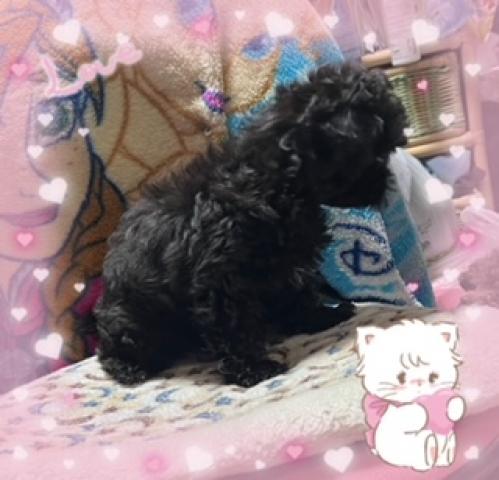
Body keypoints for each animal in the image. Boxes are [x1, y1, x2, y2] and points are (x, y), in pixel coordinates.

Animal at [94, 63, 408, 387]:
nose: (386, 185)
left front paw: (318, 317)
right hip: (132, 320)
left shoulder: (287, 265)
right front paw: (253, 367)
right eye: (375, 153)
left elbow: (297, 295)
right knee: (115, 350)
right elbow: (234, 325)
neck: (280, 183)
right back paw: (129, 368)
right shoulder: (222, 277)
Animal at [355, 318, 466, 471]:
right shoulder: (383, 412)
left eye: (433, 377)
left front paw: (454, 406)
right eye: (400, 377)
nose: (418, 382)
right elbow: (411, 412)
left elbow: (451, 401)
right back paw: (428, 449)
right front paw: (418, 410)